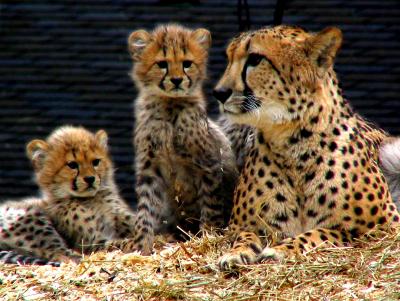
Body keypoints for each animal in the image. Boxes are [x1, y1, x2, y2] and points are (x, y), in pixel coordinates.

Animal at [0, 125, 140, 264]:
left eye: (96, 162)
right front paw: (133, 244)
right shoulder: (92, 241)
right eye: (72, 165)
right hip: (33, 217)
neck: (90, 200)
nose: (90, 179)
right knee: (61, 254)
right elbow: (117, 244)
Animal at [128, 23, 238, 254]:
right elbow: (145, 211)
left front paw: (206, 239)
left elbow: (210, 207)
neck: (170, 106)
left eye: (187, 64)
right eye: (162, 64)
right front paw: (141, 246)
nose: (177, 80)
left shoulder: (208, 165)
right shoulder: (149, 169)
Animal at [211, 25, 398, 268]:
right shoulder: (238, 227)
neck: (292, 144)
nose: (219, 93)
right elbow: (245, 235)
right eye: (229, 58)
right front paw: (237, 252)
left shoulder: (385, 226)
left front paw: (283, 248)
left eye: (255, 59)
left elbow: (325, 232)